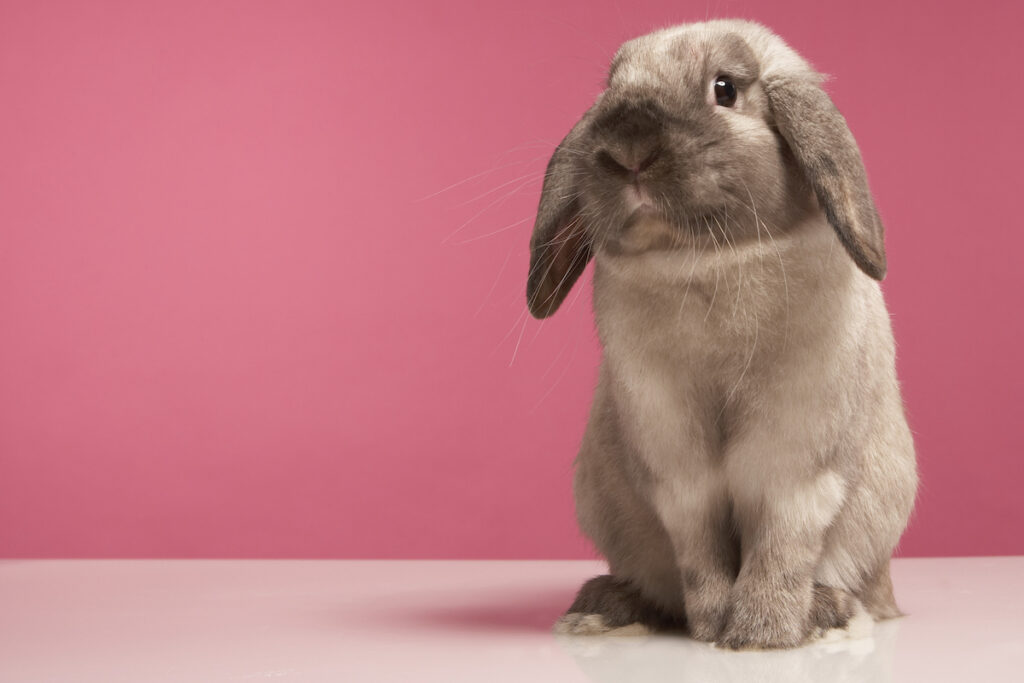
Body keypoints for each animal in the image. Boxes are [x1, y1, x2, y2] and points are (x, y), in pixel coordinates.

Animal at [526, 20, 917, 650]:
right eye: (612, 87)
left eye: (725, 88)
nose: (628, 148)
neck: (706, 262)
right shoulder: (675, 465)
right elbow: (700, 547)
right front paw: (711, 626)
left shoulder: (796, 459)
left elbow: (782, 540)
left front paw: (762, 633)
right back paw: (602, 609)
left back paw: (827, 613)